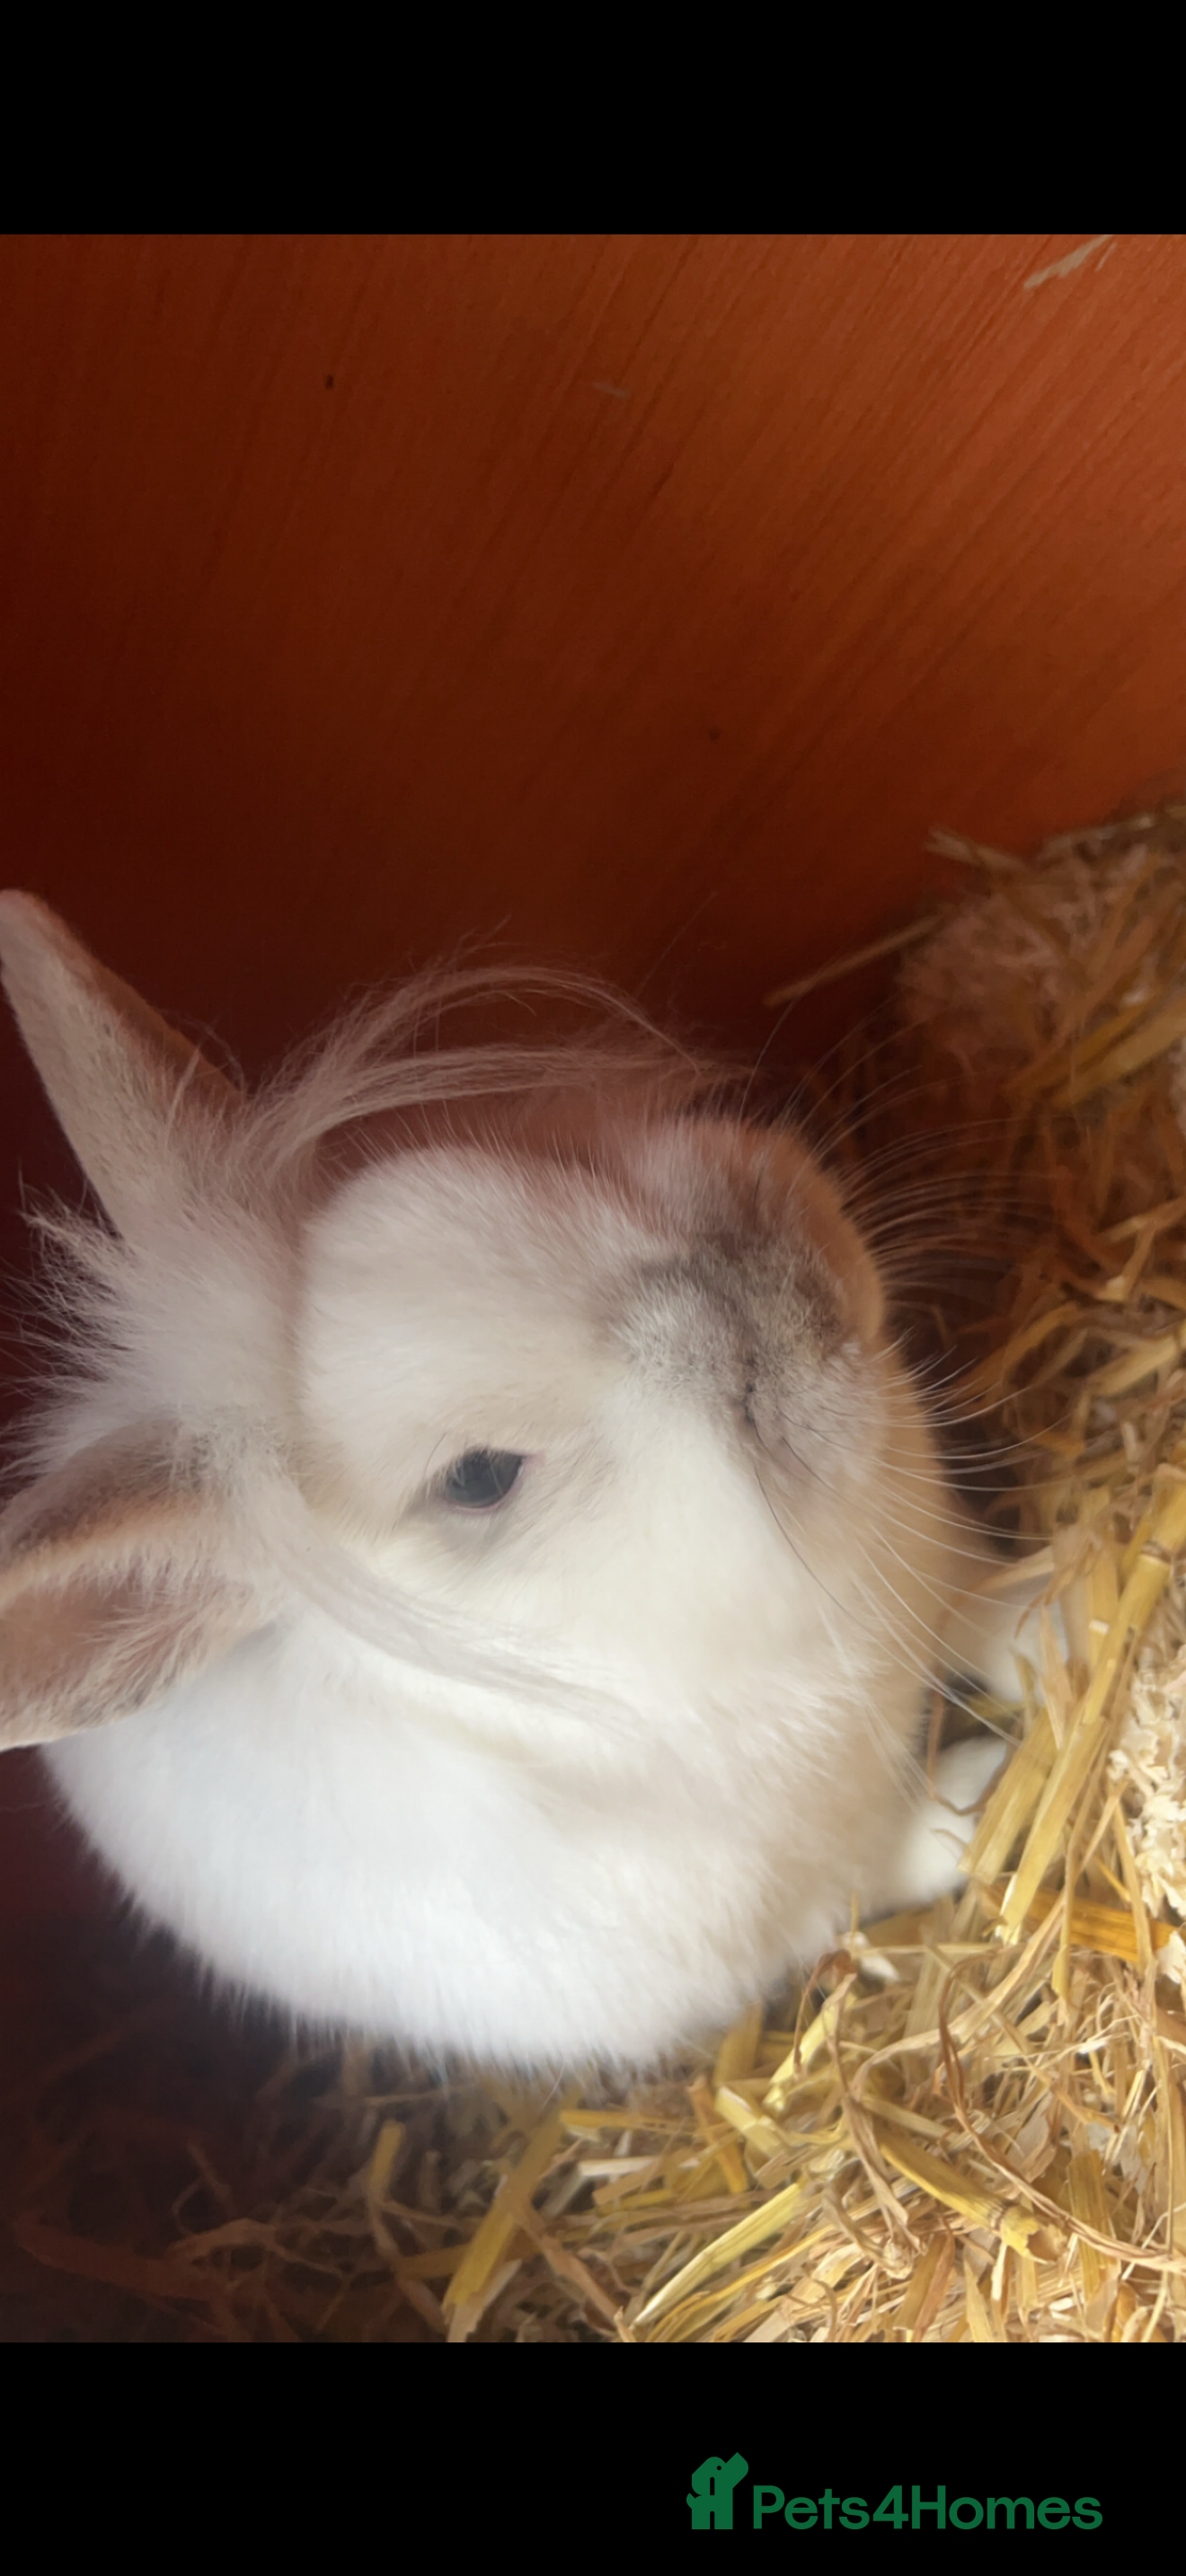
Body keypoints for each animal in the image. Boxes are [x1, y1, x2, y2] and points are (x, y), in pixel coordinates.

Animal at [0, 891, 1037, 2072]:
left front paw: (1064, 1623)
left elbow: (994, 1607)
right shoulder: (787, 1898)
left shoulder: (938, 1562)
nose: (781, 1297)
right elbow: (895, 1862)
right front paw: (979, 1795)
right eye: (480, 1478)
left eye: (499, 1172)